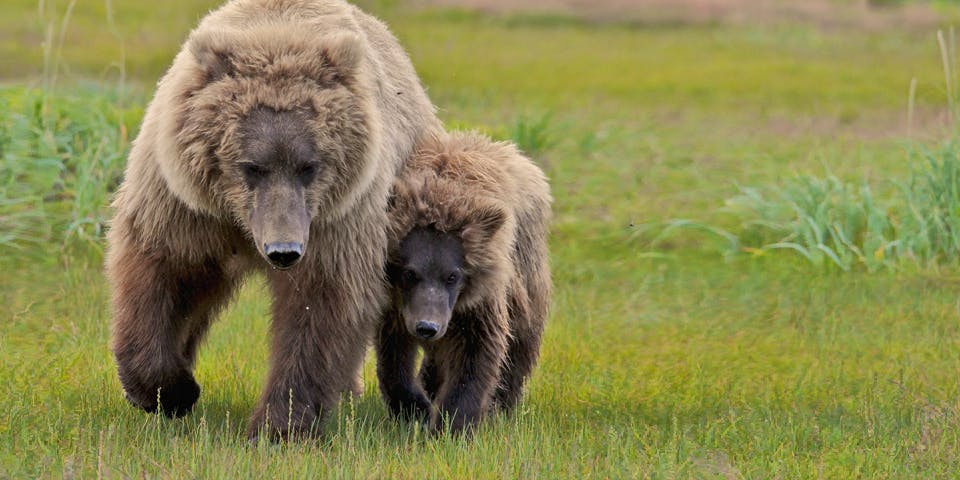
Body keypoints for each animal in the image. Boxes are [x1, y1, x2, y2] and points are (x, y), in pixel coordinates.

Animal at [106, 0, 441, 441]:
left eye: (309, 166)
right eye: (252, 166)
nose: (284, 251)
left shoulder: (336, 220)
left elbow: (320, 306)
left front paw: (278, 425)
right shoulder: (184, 203)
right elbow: (160, 271)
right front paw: (169, 390)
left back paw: (402, 397)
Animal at [377, 131, 552, 434]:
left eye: (452, 275)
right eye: (409, 272)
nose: (427, 327)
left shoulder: (480, 300)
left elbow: (478, 350)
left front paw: (451, 424)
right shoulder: (396, 303)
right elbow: (393, 353)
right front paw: (415, 408)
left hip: (527, 270)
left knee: (522, 338)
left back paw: (503, 403)